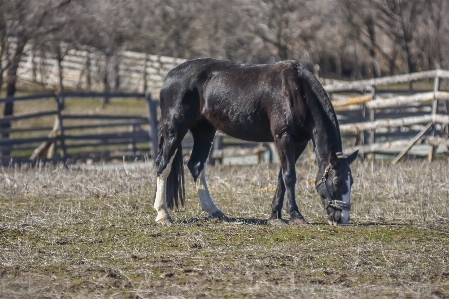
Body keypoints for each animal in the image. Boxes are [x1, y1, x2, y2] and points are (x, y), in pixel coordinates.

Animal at [154, 58, 356, 226]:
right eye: (337, 181)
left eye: (351, 181)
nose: (343, 218)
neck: (296, 91)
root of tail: (170, 76)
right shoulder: (284, 137)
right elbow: (290, 176)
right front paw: (296, 216)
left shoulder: (298, 143)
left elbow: (281, 176)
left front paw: (275, 216)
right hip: (175, 129)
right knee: (163, 165)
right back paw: (163, 214)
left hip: (204, 130)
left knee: (196, 166)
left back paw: (215, 212)